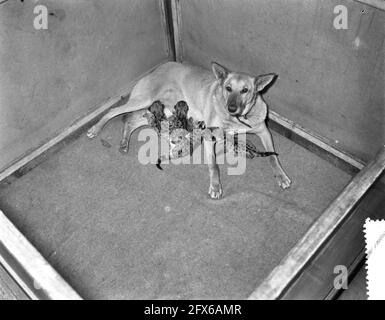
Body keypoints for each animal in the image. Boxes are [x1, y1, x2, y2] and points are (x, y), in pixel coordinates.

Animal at [87, 61, 292, 199]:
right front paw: (215, 186)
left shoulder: (264, 132)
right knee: (114, 111)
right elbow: (214, 165)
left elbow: (273, 157)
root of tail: (161, 66)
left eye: (245, 90)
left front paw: (281, 175)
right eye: (228, 88)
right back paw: (95, 129)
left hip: (159, 109)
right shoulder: (210, 137)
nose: (232, 108)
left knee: (132, 121)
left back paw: (124, 142)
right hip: (144, 100)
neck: (237, 119)